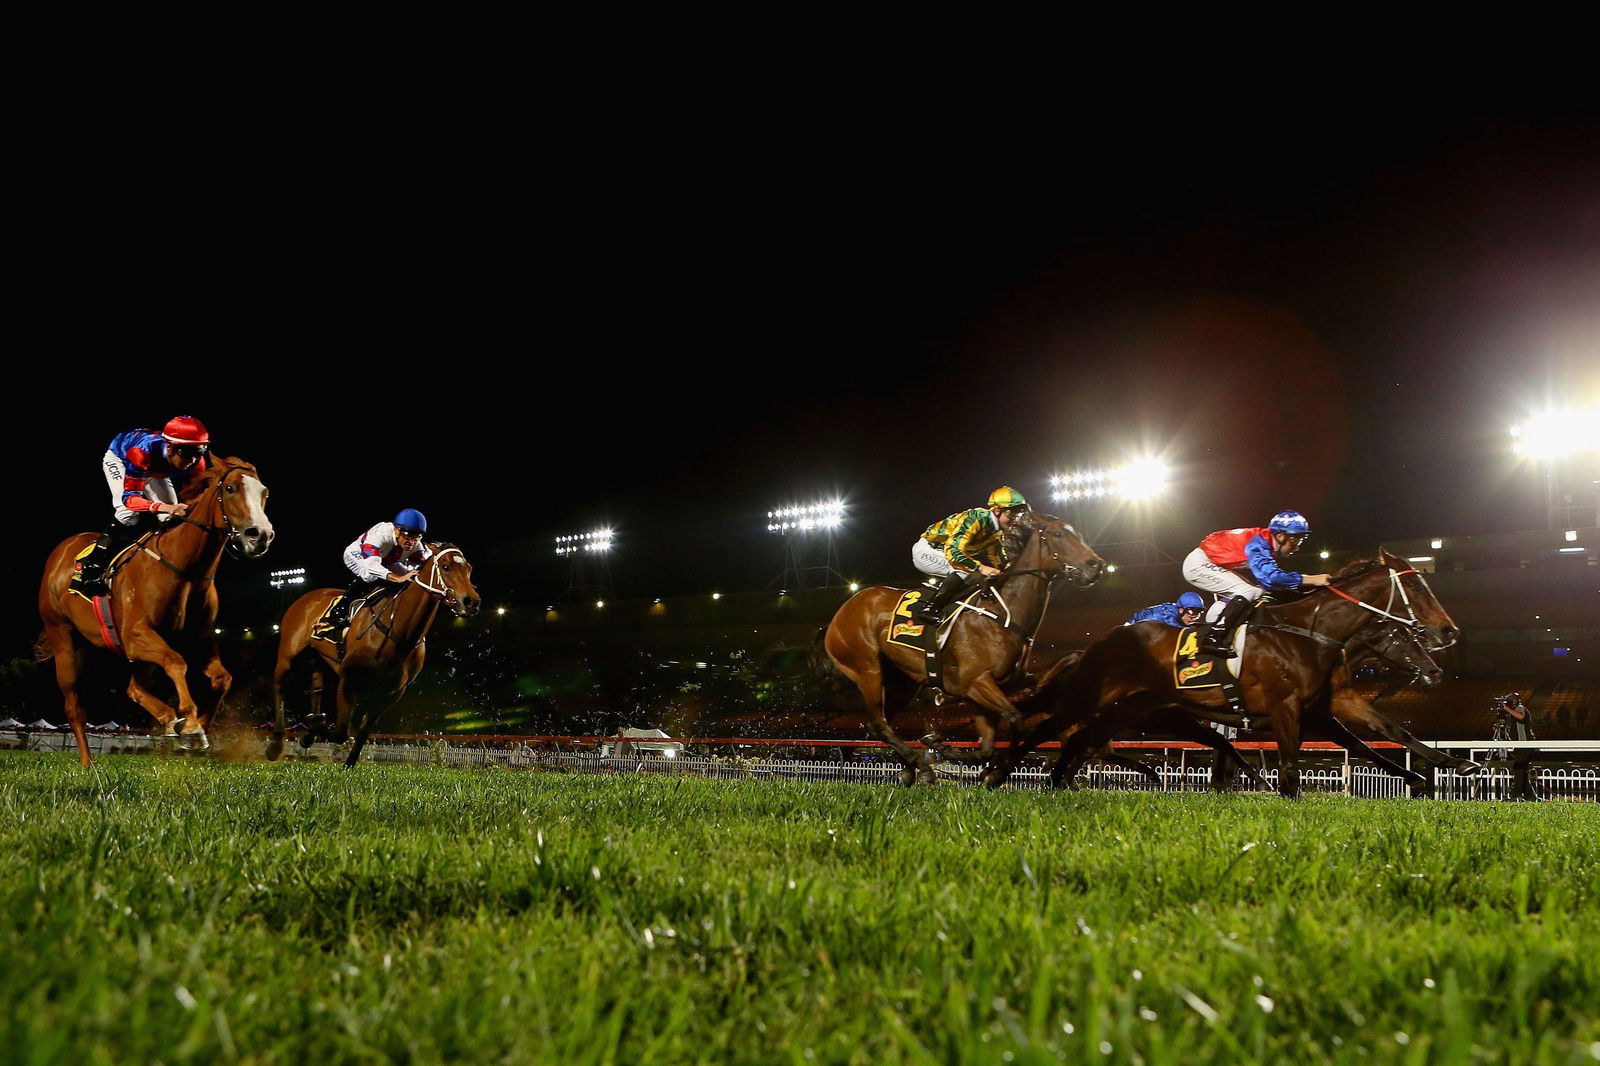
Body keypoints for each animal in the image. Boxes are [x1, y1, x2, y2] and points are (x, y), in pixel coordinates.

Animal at [34, 457, 275, 765]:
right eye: (230, 488)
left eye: (264, 492)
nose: (260, 535)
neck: (184, 566)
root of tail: (61, 551)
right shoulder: (135, 635)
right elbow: (176, 662)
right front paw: (191, 725)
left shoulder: (197, 637)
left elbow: (222, 678)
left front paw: (197, 726)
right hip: (64, 638)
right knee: (74, 707)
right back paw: (88, 764)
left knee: (134, 689)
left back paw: (169, 720)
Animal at [268, 541, 476, 765]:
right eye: (446, 567)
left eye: (469, 568)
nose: (471, 601)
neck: (401, 633)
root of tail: (307, 597)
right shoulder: (349, 678)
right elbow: (341, 732)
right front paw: (309, 733)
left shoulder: (391, 691)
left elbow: (362, 731)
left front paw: (347, 763)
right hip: (288, 655)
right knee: (279, 687)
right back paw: (276, 743)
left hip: (319, 659)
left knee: (316, 690)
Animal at [819, 512, 1107, 784]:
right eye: (1058, 534)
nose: (1096, 565)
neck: (1003, 613)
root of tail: (843, 610)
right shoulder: (976, 682)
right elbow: (1016, 720)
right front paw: (993, 771)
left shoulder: (993, 689)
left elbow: (988, 745)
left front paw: (946, 748)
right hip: (867, 669)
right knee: (878, 724)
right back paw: (922, 767)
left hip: (902, 683)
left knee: (882, 723)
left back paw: (910, 770)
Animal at [998, 550, 1465, 793]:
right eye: (1417, 586)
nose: (1449, 632)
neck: (1312, 631)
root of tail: (1098, 642)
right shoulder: (1287, 707)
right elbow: (1291, 766)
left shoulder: (1332, 703)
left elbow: (1386, 733)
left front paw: (1449, 766)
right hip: (1100, 698)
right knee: (1055, 731)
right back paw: (1002, 773)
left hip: (1131, 709)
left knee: (1082, 741)